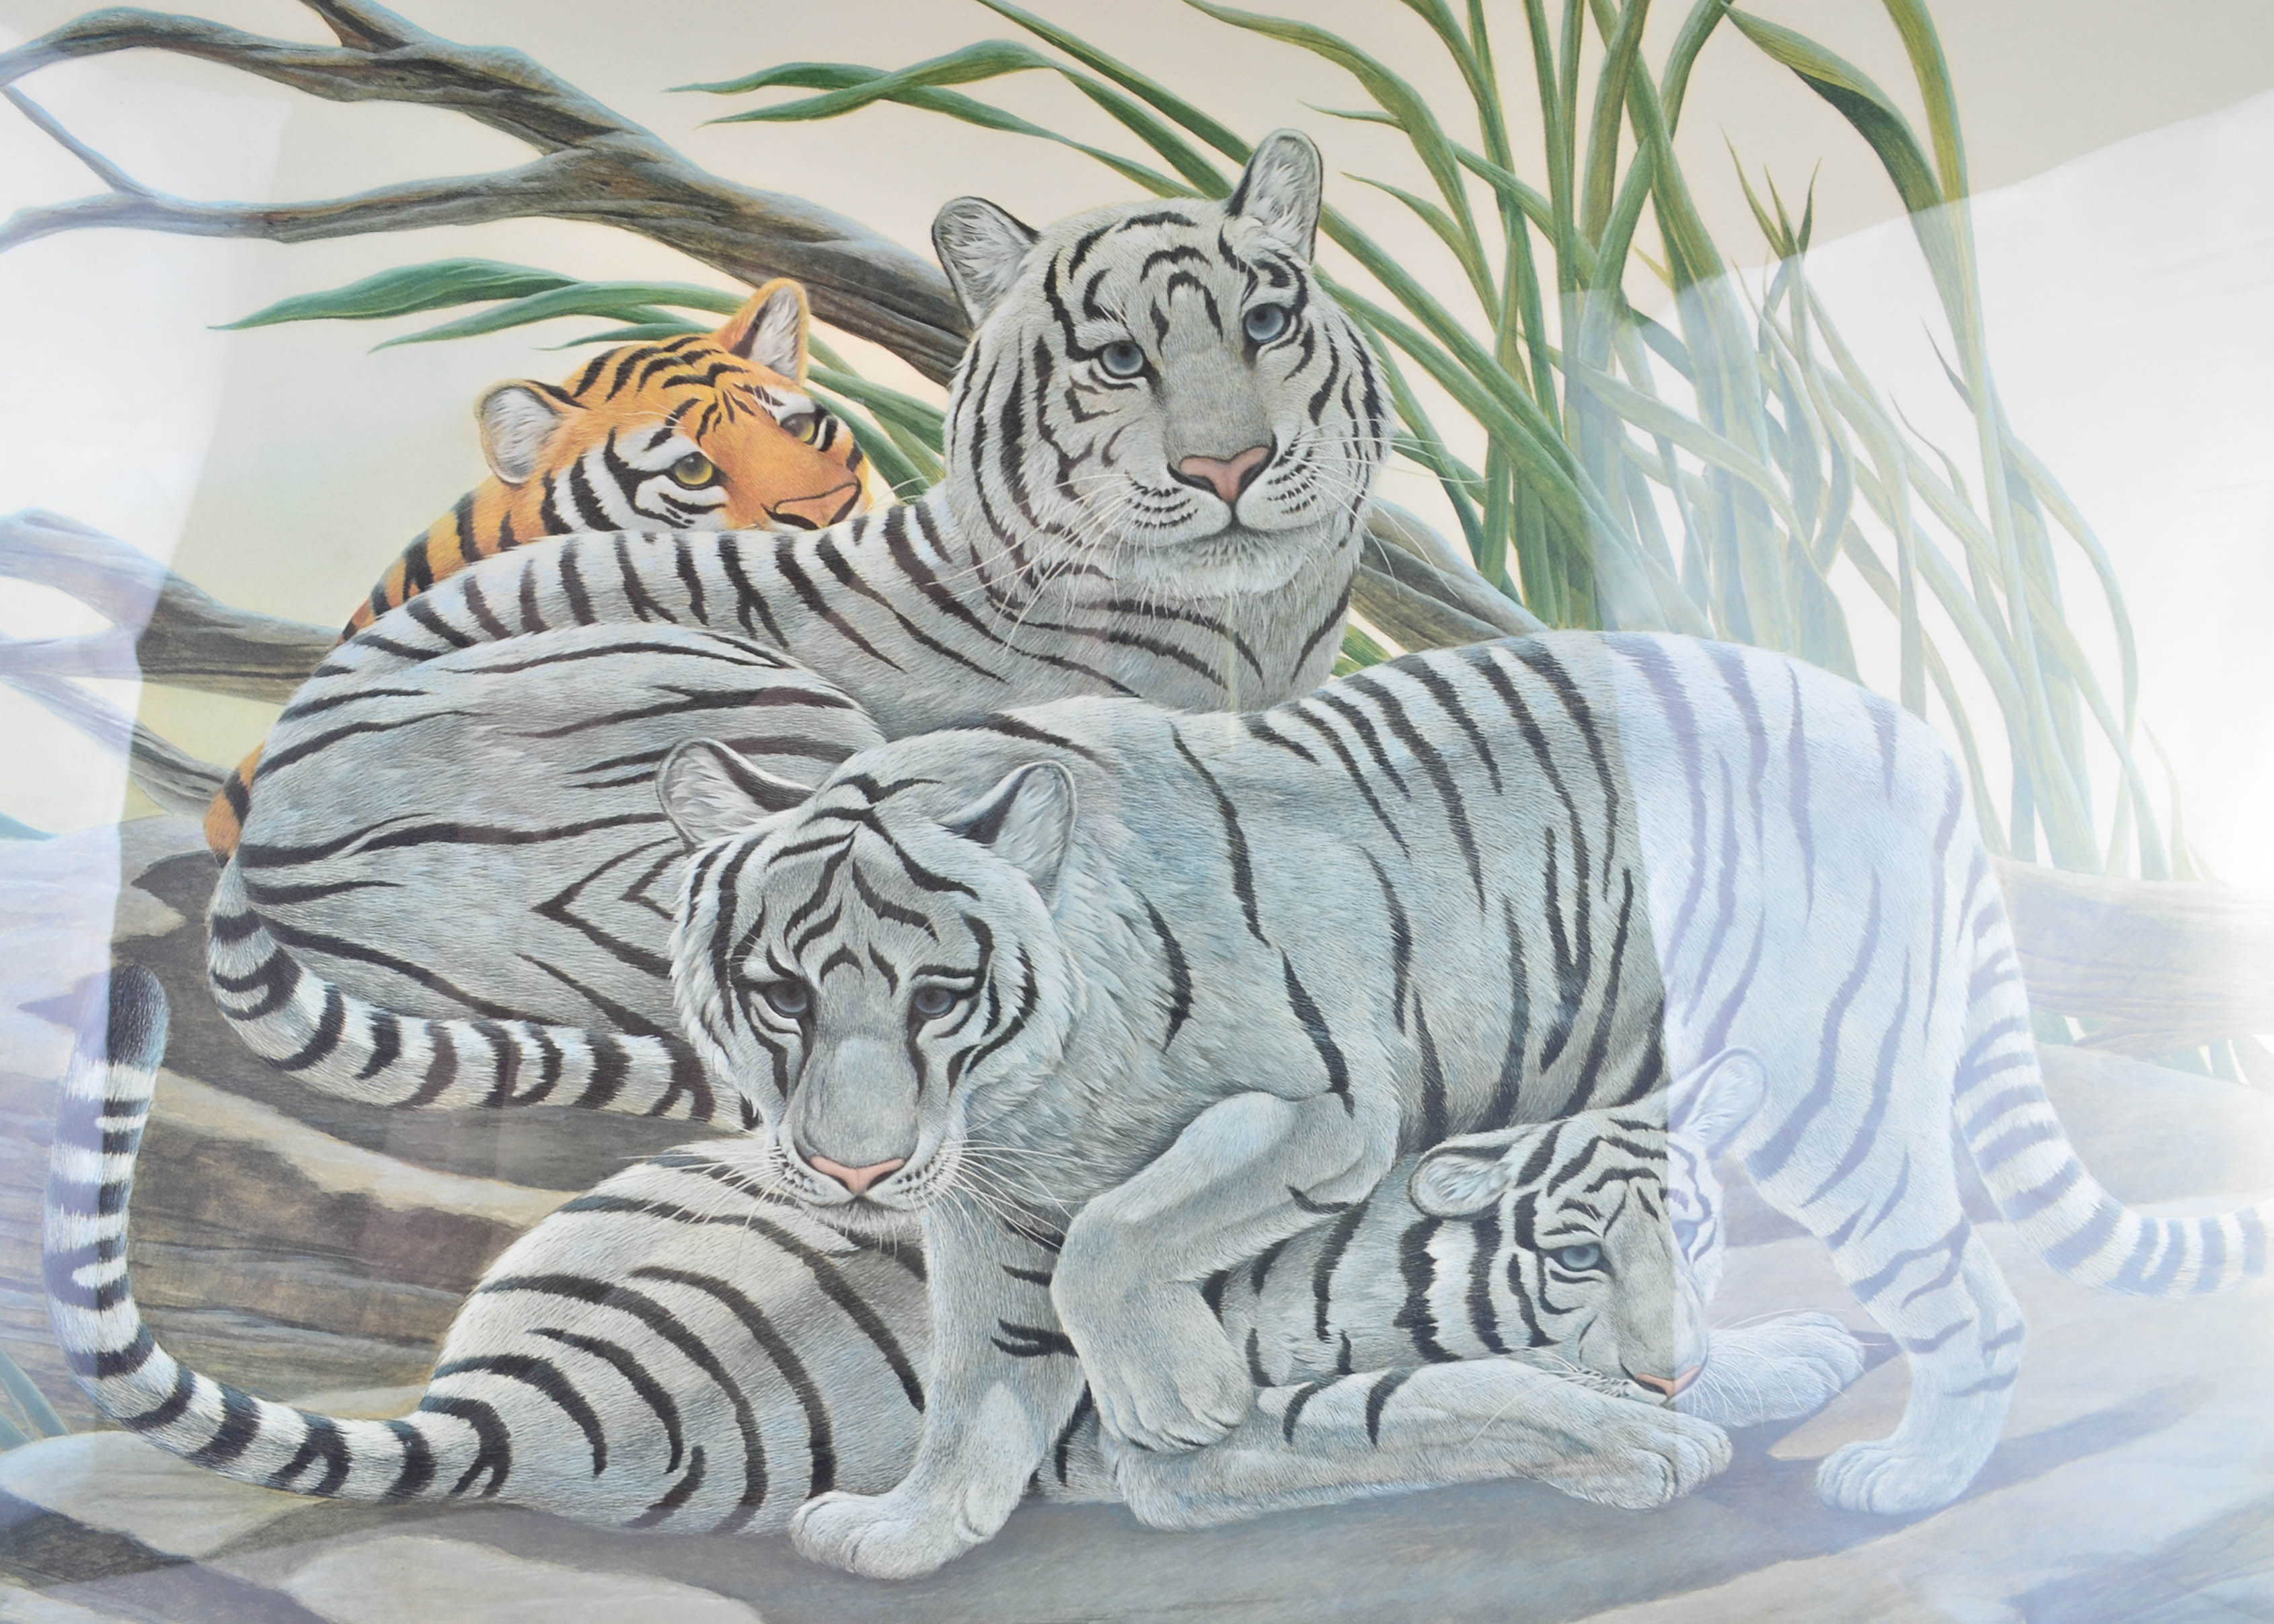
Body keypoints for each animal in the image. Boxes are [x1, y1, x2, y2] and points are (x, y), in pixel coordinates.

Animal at [49, 968, 1866, 1536]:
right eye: (1574, 1253)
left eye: (1696, 1231)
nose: (1664, 1361)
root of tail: (539, 1403)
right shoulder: (1191, 1449)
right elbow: (1457, 1403)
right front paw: (1646, 1440)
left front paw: (1783, 1361)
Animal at [625, 629, 2271, 1577]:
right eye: (779, 996)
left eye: (933, 995)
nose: (852, 1174)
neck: (1022, 1099)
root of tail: (1909, 730)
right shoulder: (987, 1205)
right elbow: (977, 1371)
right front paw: (906, 1535)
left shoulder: (1317, 1109)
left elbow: (1121, 1234)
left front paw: (1178, 1393)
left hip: (1831, 1084)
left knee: (1963, 1294)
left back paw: (1909, 1474)